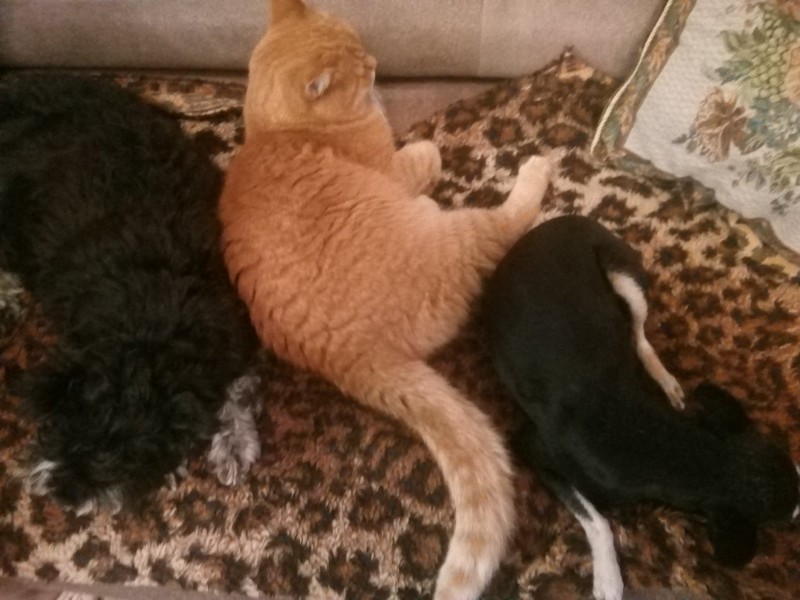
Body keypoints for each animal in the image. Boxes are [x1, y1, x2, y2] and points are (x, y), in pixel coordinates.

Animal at [0, 73, 262, 512]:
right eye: (58, 429)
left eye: (122, 462)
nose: (65, 497)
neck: (151, 330)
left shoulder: (233, 333)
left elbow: (239, 388)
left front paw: (234, 441)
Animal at [218, 1, 552, 597]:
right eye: (358, 68)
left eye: (360, 42)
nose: (376, 65)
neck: (274, 131)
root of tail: (352, 358)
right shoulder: (395, 166)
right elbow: (423, 155)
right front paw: (421, 141)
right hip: (464, 235)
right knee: (509, 218)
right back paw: (535, 171)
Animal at [482, 215, 799, 600]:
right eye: (789, 517)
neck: (680, 447)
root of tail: (564, 218)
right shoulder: (532, 446)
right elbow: (598, 520)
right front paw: (608, 576)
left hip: (626, 279)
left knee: (639, 335)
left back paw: (667, 382)